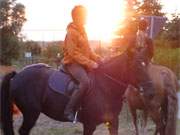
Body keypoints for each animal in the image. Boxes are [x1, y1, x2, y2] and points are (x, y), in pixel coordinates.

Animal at [0, 52, 136, 135]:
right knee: (23, 131)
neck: (105, 85)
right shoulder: (89, 125)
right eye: (138, 64)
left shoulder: (113, 122)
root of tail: (17, 75)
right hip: (31, 114)